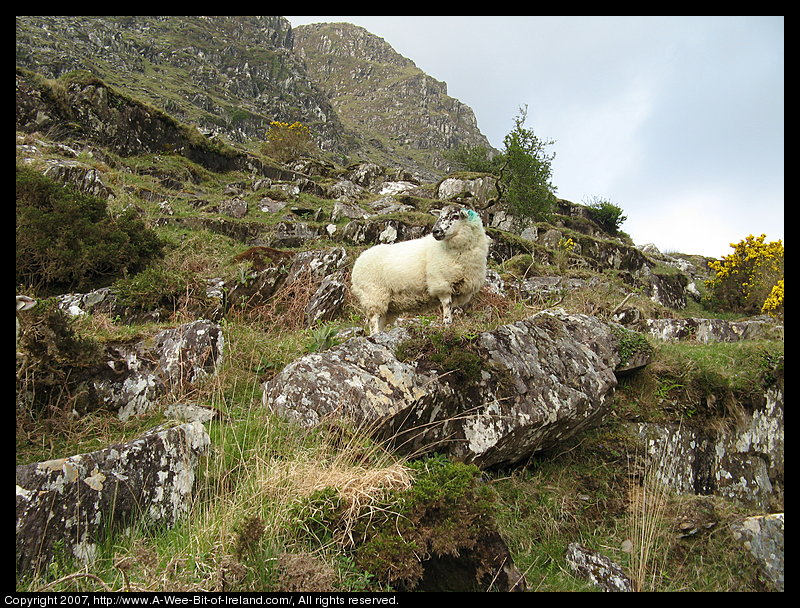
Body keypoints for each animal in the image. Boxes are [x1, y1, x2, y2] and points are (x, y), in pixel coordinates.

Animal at [352, 207, 490, 334]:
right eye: (440, 215)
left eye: (455, 216)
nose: (435, 231)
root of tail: (358, 261)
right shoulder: (442, 284)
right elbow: (447, 308)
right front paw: (447, 327)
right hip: (373, 294)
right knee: (373, 320)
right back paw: (376, 335)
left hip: (386, 303)